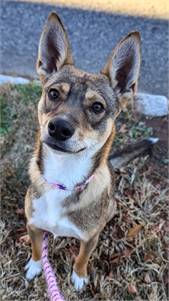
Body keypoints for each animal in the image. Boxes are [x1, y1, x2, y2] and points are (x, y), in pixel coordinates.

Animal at [24, 12, 155, 290]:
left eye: (97, 107)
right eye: (53, 93)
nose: (59, 128)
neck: (64, 178)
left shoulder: (89, 238)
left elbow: (82, 258)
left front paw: (79, 276)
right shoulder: (34, 225)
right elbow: (38, 248)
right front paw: (36, 265)